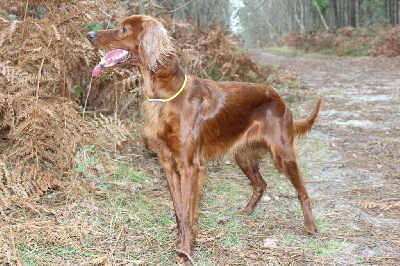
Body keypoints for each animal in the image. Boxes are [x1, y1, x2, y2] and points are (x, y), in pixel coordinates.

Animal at [87, 15, 322, 260]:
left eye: (123, 29)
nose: (89, 35)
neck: (165, 95)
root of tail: (280, 99)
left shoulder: (190, 167)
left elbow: (188, 212)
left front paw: (185, 250)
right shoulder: (168, 165)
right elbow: (179, 210)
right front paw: (181, 242)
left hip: (283, 154)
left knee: (302, 190)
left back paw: (310, 225)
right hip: (243, 155)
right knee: (260, 184)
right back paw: (247, 211)